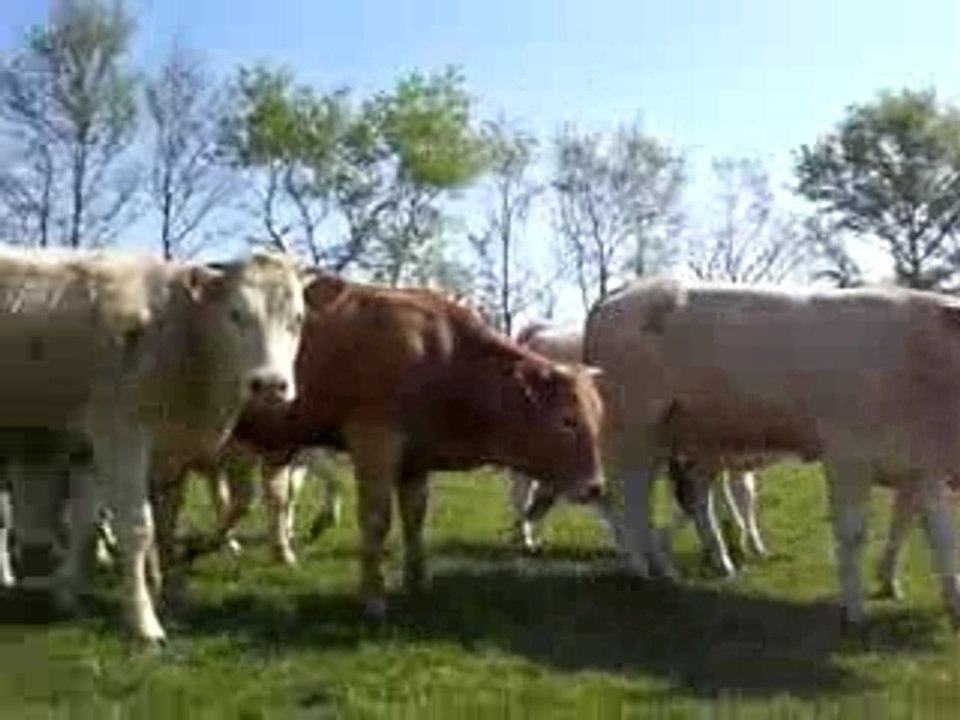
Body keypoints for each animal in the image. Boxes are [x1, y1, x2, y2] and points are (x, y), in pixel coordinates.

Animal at [0, 247, 309, 644]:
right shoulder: (120, 436)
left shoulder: (137, 455)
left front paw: (72, 591)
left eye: (297, 319)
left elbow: (123, 522)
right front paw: (144, 623)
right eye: (235, 314)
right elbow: (136, 528)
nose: (270, 385)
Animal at [222, 274, 606, 618]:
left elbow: (415, 518)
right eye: (567, 420)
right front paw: (373, 598)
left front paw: (417, 582)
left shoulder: (416, 458)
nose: (596, 487)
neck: (440, 353)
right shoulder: (374, 441)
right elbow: (377, 519)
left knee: (266, 494)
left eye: (599, 418)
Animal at [583, 276, 960, 631]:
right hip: (632, 426)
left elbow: (941, 538)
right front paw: (855, 612)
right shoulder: (847, 457)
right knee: (627, 495)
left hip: (678, 438)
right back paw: (640, 569)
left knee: (676, 497)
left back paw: (690, 567)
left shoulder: (922, 468)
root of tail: (628, 290)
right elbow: (853, 534)